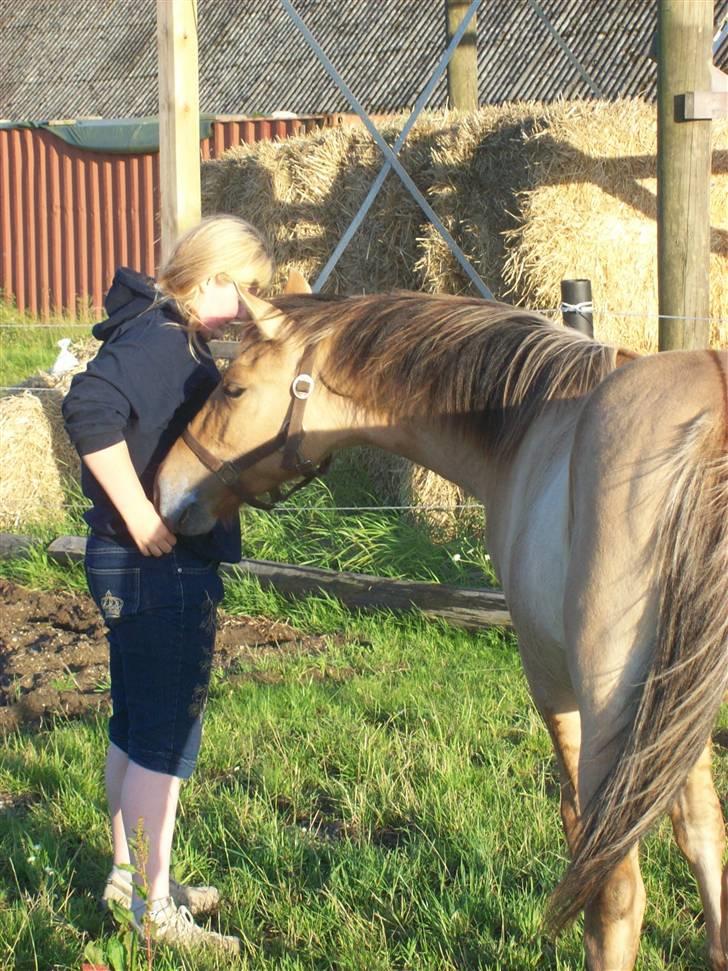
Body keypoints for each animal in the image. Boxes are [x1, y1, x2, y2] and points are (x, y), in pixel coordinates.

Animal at [156, 280, 728, 971]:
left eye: (234, 389)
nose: (164, 489)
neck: (530, 430)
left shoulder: (555, 683)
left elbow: (588, 839)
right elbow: (702, 833)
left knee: (614, 887)